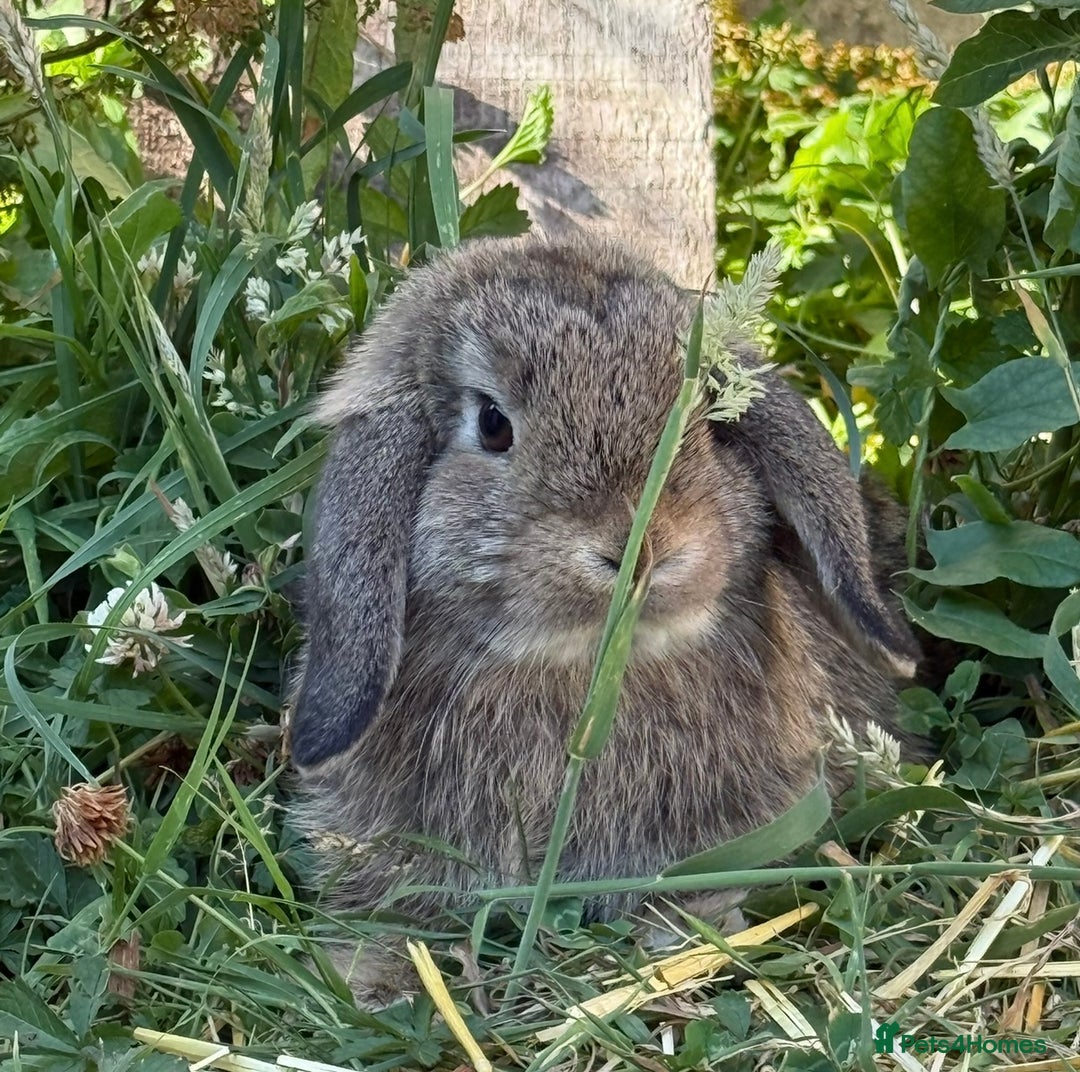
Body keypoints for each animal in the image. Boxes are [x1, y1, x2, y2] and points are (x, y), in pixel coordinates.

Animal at [289, 232, 922, 1002]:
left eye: (713, 423)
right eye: (492, 425)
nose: (644, 549)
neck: (589, 671)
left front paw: (693, 940)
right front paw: (372, 978)